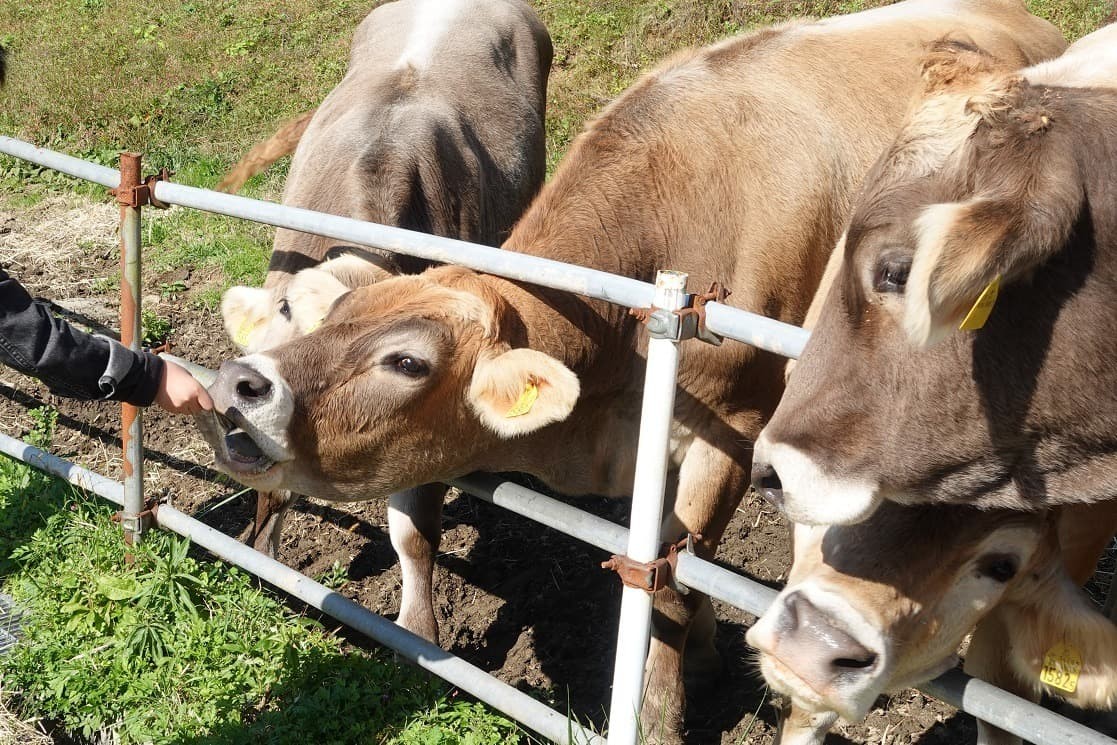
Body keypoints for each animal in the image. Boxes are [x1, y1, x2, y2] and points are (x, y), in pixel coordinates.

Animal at [198, 4, 1063, 741]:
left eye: (407, 359)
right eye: (334, 317)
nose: (241, 383)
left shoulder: (730, 433)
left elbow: (673, 584)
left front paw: (658, 712)